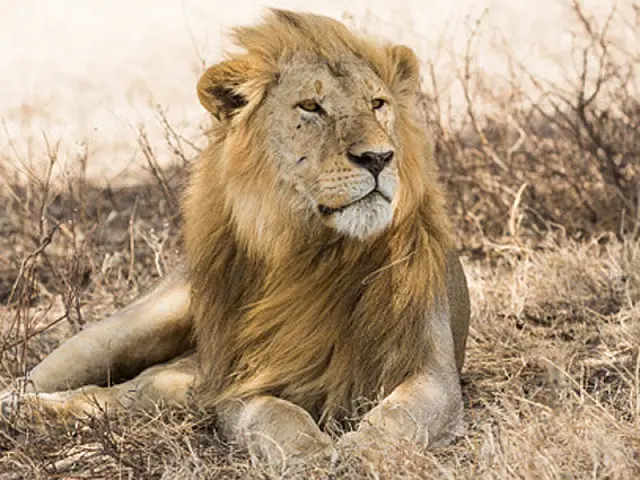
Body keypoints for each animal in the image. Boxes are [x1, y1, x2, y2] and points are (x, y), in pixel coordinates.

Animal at [1, 9, 470, 466]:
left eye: (378, 103)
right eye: (311, 106)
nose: (378, 157)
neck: (325, 251)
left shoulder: (433, 372)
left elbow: (399, 415)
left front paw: (362, 452)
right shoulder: (242, 383)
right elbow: (277, 413)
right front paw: (310, 454)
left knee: (119, 395)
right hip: (126, 331)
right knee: (52, 375)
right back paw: (19, 405)